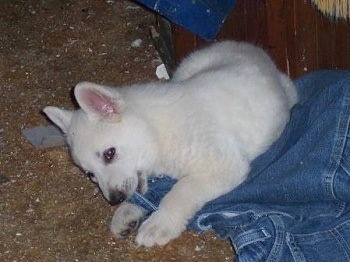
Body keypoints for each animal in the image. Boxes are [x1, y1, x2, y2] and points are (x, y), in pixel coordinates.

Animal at [43, 40, 296, 246]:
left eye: (109, 154)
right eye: (90, 175)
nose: (115, 200)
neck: (157, 132)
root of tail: (250, 48)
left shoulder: (223, 165)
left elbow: (180, 191)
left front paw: (160, 224)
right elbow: (149, 192)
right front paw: (126, 212)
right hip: (186, 68)